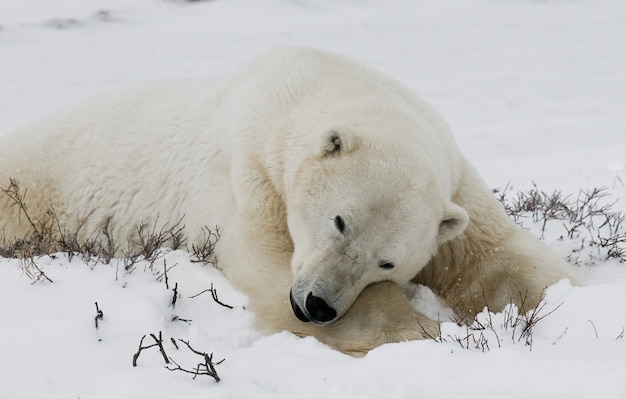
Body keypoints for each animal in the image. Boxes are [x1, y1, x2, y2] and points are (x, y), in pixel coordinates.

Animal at [1, 47, 576, 356]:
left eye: (387, 261)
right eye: (340, 221)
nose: (316, 305)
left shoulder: (455, 188)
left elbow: (493, 255)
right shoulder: (251, 172)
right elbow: (268, 261)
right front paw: (426, 332)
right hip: (28, 188)